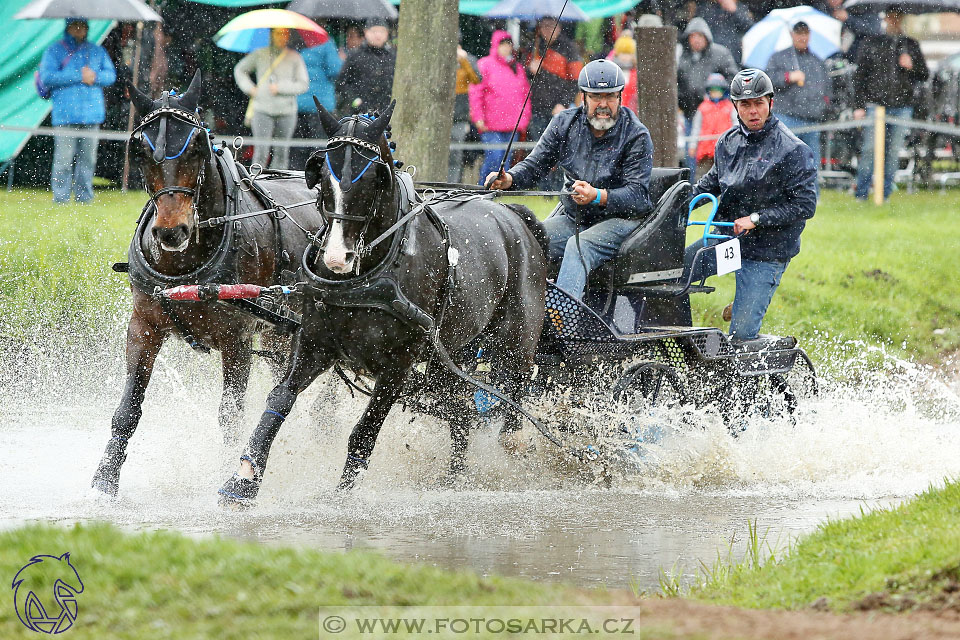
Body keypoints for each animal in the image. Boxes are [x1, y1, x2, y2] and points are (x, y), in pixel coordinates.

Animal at [94, 72, 326, 498]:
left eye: (197, 147)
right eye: (140, 151)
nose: (171, 232)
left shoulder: (237, 339)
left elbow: (230, 415)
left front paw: (224, 471)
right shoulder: (143, 327)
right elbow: (128, 408)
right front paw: (105, 477)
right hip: (279, 335)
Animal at [218, 100, 548, 504]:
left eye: (375, 177)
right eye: (321, 175)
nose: (336, 258)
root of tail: (514, 215)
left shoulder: (398, 365)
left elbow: (364, 432)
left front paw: (342, 495)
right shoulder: (314, 344)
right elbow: (280, 399)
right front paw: (242, 479)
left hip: (515, 344)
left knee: (513, 397)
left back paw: (512, 453)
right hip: (450, 358)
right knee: (461, 410)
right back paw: (454, 479)